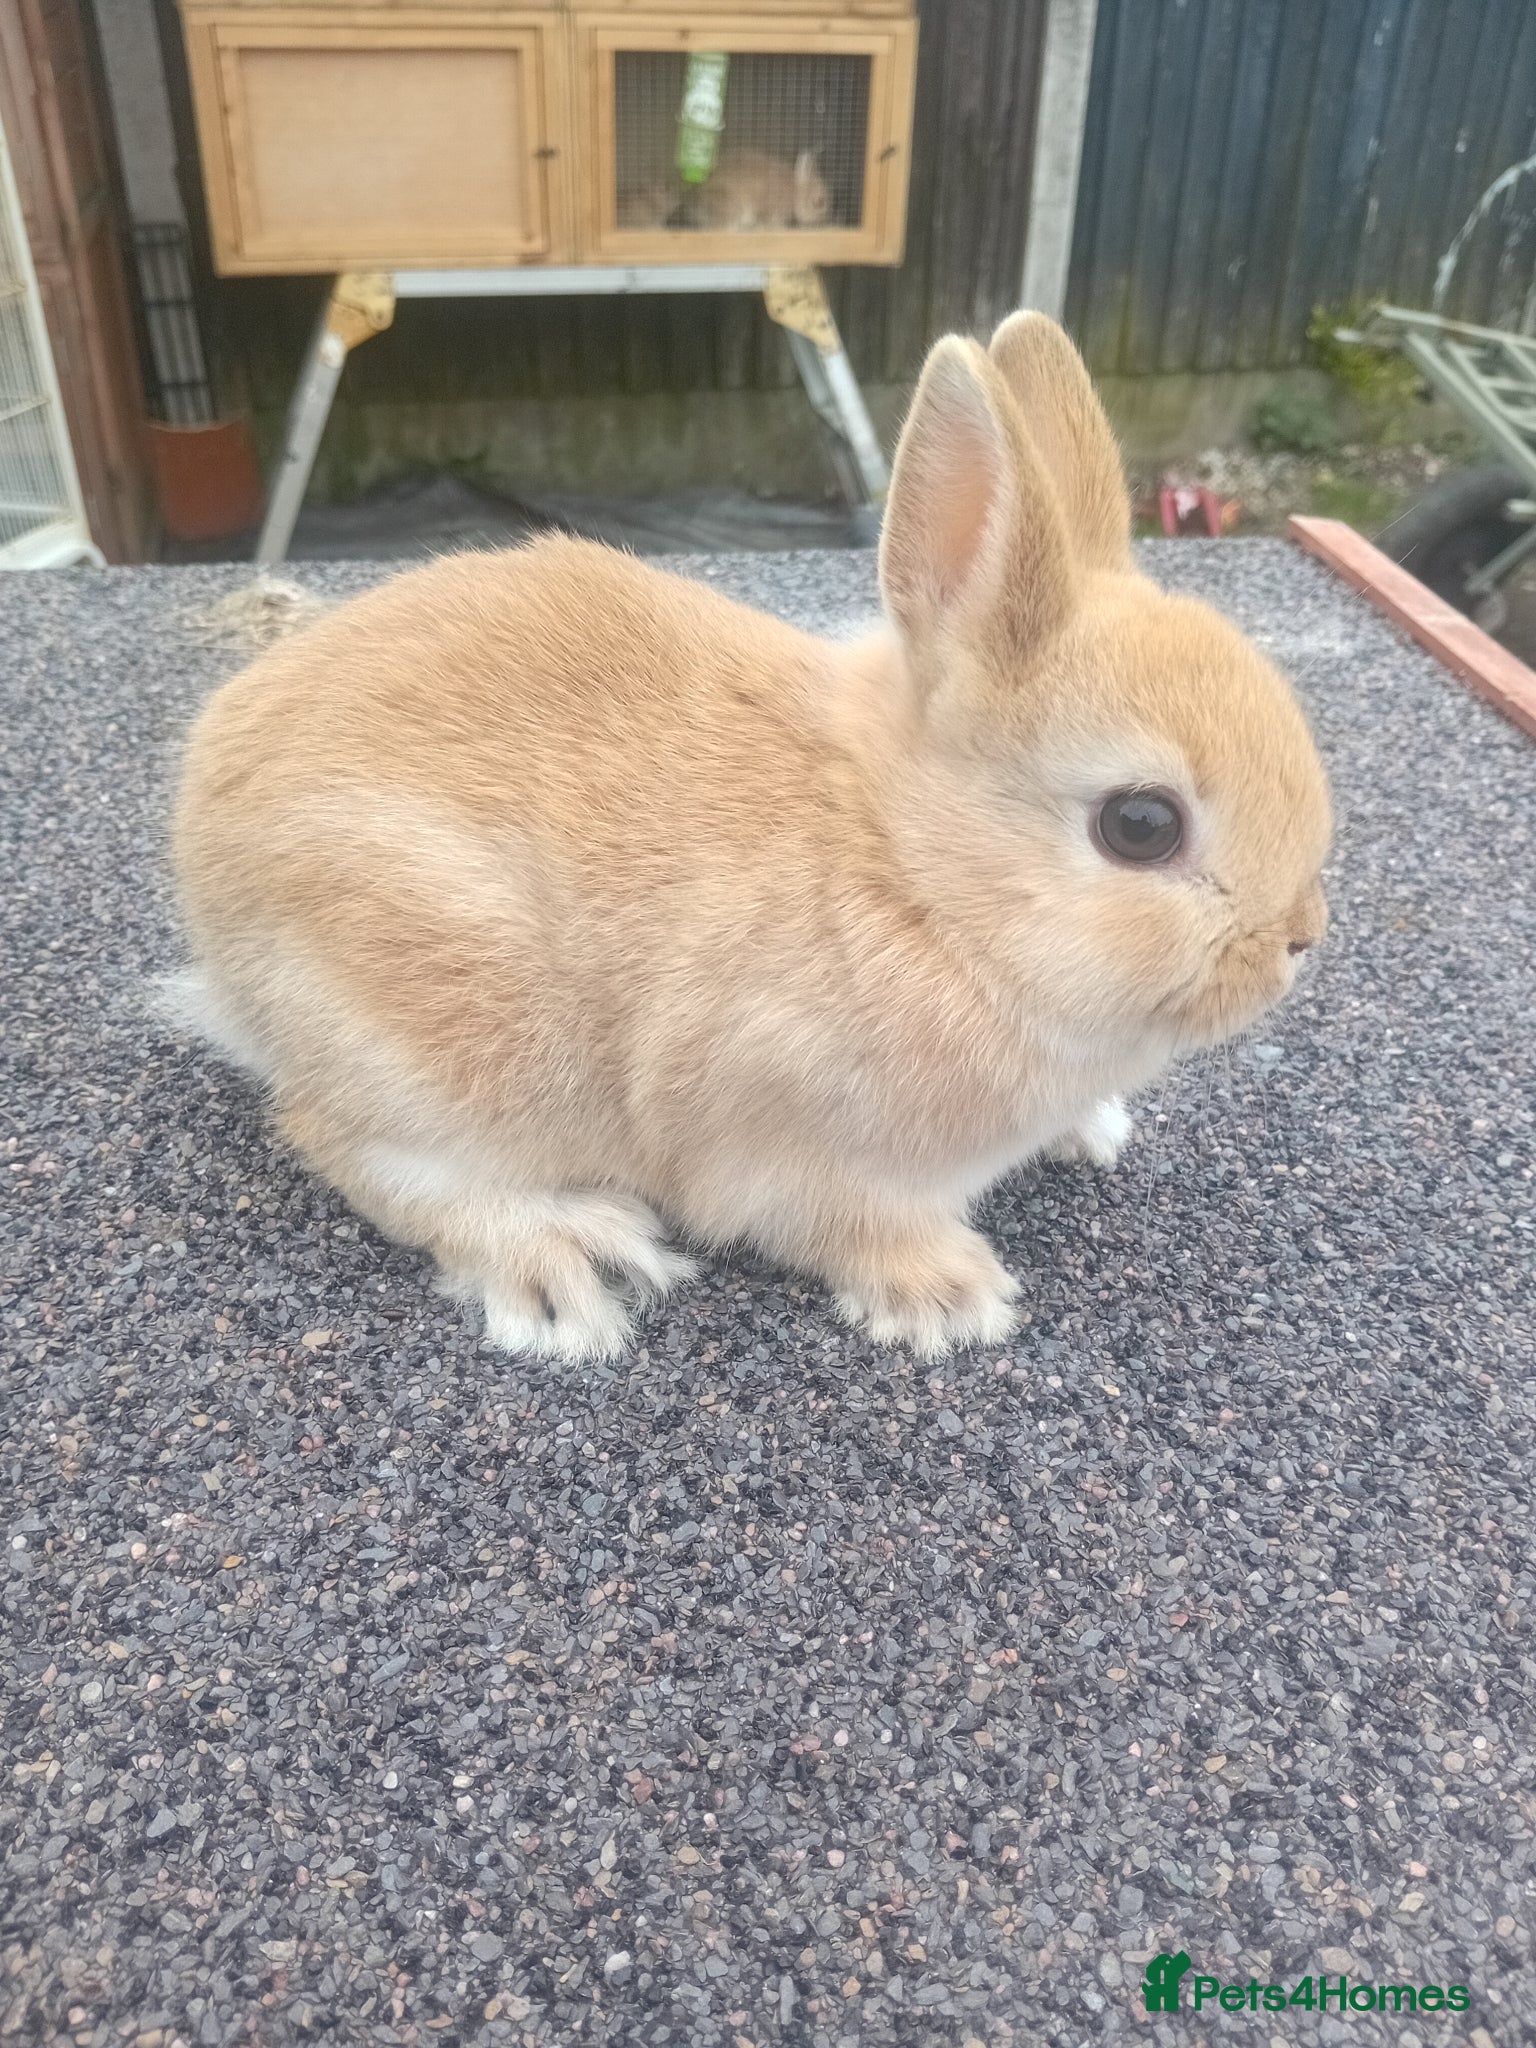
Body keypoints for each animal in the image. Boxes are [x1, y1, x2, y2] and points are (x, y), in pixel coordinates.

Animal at [172, 313, 1330, 1363]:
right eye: (1141, 825)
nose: (1298, 941)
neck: (912, 875)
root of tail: (202, 854)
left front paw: (1095, 1130)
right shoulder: (781, 1144)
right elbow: (842, 1226)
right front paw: (952, 1295)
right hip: (440, 1035)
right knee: (354, 1148)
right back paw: (564, 1256)